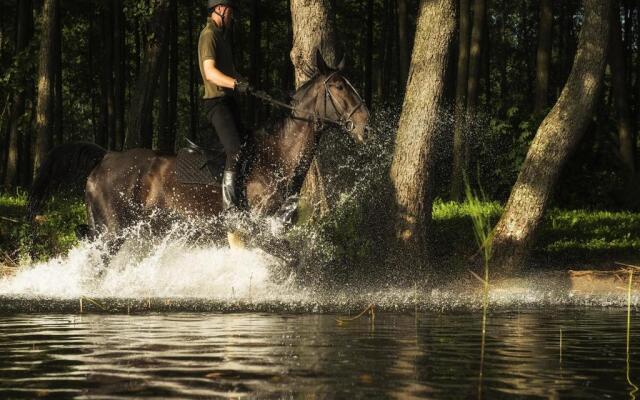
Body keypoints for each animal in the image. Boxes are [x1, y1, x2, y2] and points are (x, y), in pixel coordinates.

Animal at [30, 51, 370, 242]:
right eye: (338, 86)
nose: (365, 125)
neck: (277, 157)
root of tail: (106, 156)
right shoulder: (260, 227)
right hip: (111, 232)